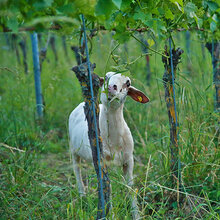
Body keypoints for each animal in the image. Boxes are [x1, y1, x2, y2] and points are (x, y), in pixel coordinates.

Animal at [69, 72, 150, 218]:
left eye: (128, 83)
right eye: (106, 77)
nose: (112, 87)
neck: (114, 140)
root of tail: (81, 104)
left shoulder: (129, 160)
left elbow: (130, 187)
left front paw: (136, 215)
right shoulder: (102, 162)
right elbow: (108, 187)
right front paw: (111, 214)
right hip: (73, 150)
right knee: (77, 169)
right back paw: (82, 195)